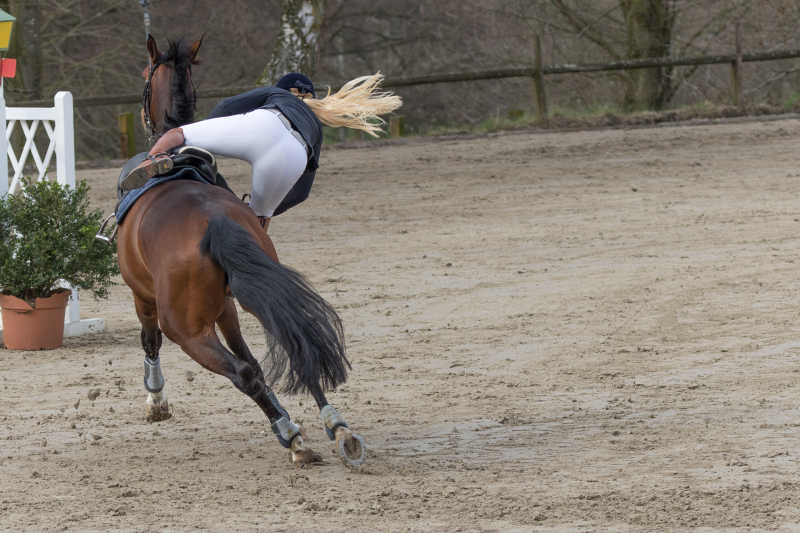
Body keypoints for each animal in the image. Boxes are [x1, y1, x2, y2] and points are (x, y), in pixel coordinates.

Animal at [118, 35, 366, 464]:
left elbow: (150, 342)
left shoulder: (143, 296)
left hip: (186, 329)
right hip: (259, 290)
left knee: (243, 373)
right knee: (296, 345)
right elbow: (254, 357)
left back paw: (291, 437)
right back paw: (337, 427)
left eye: (145, 73)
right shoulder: (227, 305)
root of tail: (215, 220)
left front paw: (156, 401)